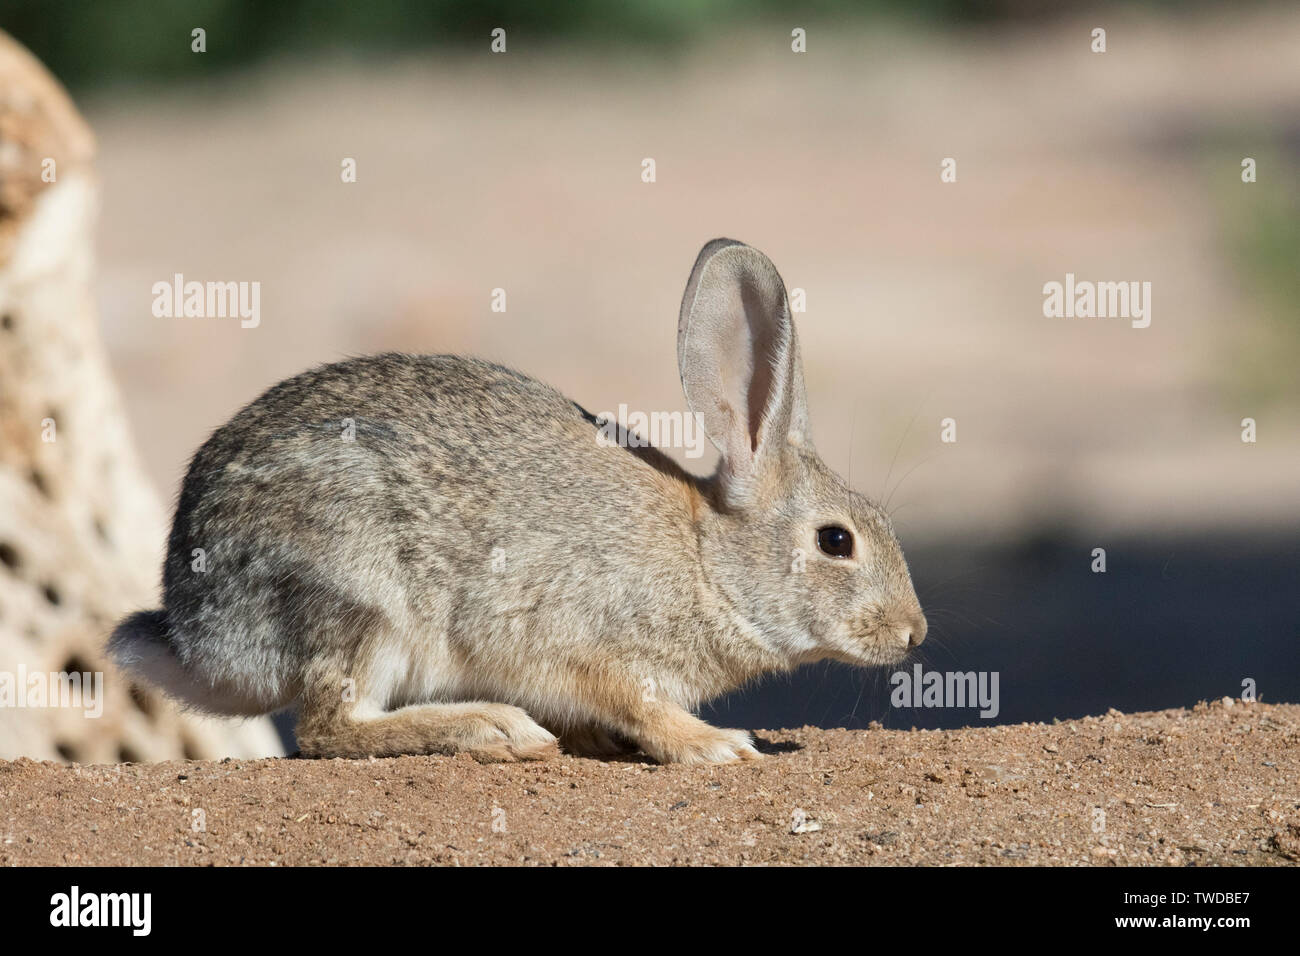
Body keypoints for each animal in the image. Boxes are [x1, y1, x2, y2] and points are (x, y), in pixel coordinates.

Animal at [109, 239, 925, 764]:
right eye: (836, 541)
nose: (914, 633)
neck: (707, 565)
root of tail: (196, 635)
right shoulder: (588, 642)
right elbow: (638, 704)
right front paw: (718, 746)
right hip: (359, 594)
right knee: (327, 728)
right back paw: (497, 730)